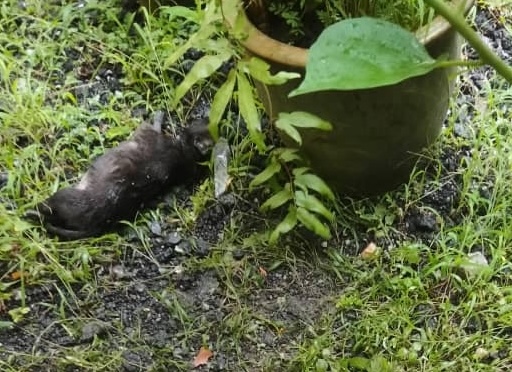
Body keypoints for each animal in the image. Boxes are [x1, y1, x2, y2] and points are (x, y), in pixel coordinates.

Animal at [27, 115, 212, 240]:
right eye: (204, 121)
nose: (209, 115)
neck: (183, 151)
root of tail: (97, 224)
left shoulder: (147, 133)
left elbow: (153, 124)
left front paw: (158, 115)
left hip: (62, 196)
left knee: (45, 210)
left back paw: (30, 212)